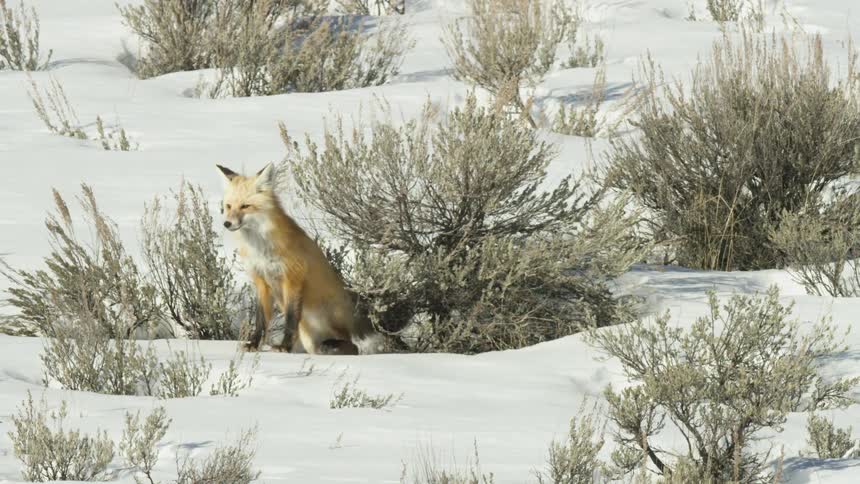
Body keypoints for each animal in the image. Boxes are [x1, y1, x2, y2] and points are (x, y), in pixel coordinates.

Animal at [216, 162, 369, 355]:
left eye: (245, 206)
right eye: (228, 206)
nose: (226, 223)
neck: (261, 247)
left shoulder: (292, 278)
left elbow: (290, 319)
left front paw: (284, 346)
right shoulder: (261, 281)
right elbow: (261, 321)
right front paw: (254, 344)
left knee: (352, 346)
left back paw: (334, 345)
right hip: (308, 336)